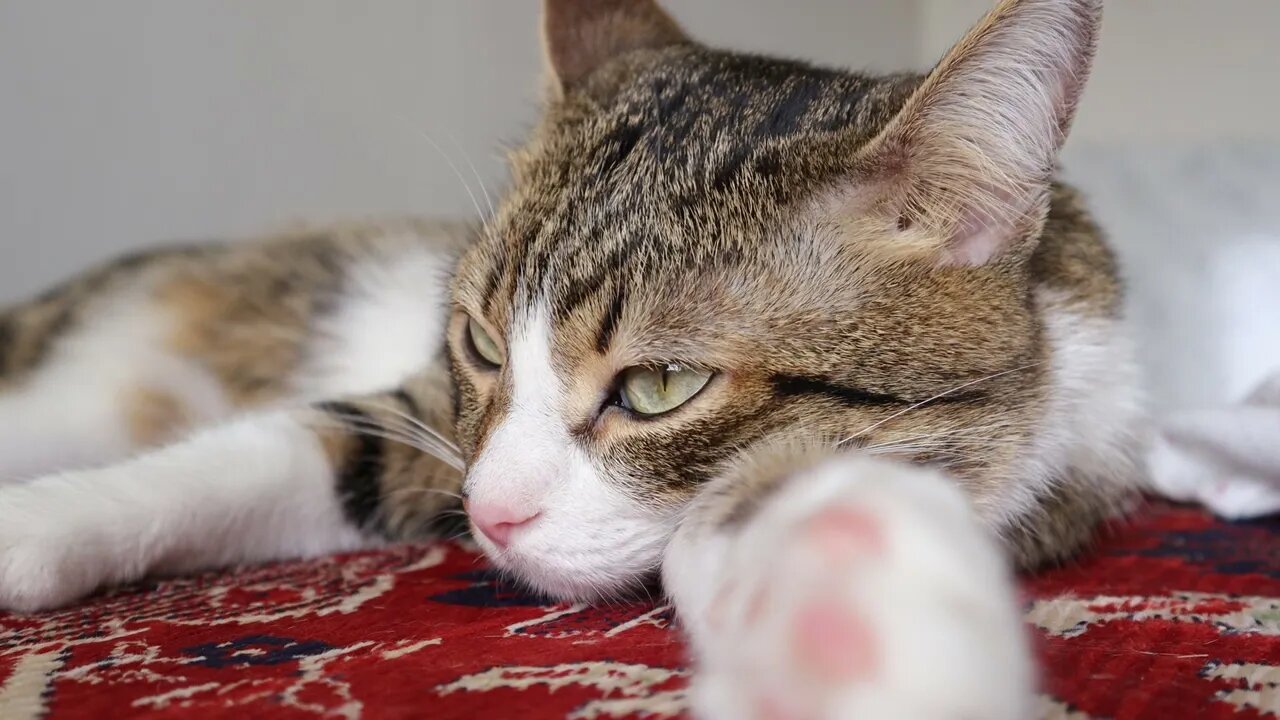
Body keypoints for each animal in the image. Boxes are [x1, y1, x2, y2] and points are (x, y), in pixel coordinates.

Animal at [0, 1, 1141, 717]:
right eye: (478, 341)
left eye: (660, 386)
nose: (488, 516)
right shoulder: (430, 415)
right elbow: (277, 447)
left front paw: (842, 622)